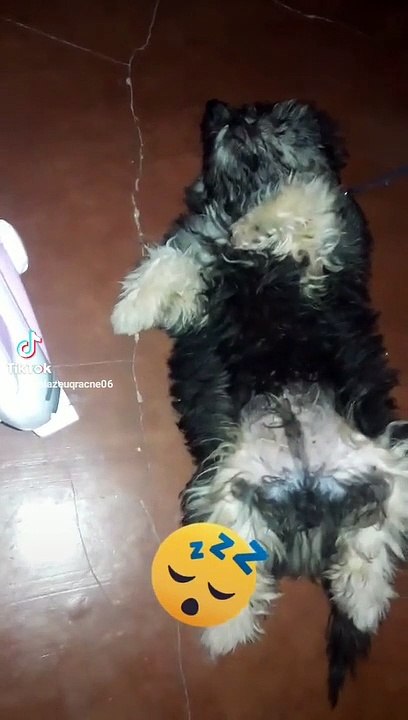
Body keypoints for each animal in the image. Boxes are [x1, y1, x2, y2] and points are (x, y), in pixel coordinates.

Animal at [112, 99, 408, 706]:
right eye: (233, 122)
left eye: (276, 122)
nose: (228, 114)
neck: (242, 196)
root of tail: (310, 491)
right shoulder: (198, 256)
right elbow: (169, 263)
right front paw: (129, 311)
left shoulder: (330, 237)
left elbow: (303, 196)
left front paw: (268, 215)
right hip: (225, 493)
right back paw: (228, 632)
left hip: (392, 460)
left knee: (376, 537)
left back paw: (363, 601)